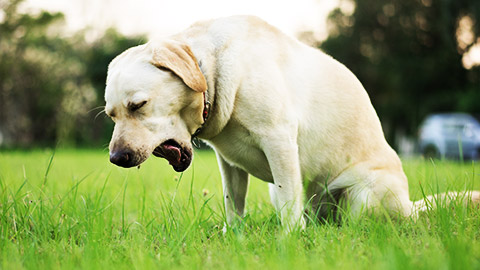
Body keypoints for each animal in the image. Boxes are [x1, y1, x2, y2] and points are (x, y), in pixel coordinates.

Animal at [105, 15, 476, 230]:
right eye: (111, 114)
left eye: (138, 105)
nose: (117, 158)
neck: (211, 69)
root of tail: (410, 208)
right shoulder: (229, 163)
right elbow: (233, 204)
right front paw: (233, 238)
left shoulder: (279, 140)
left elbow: (288, 206)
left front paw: (288, 242)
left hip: (364, 194)